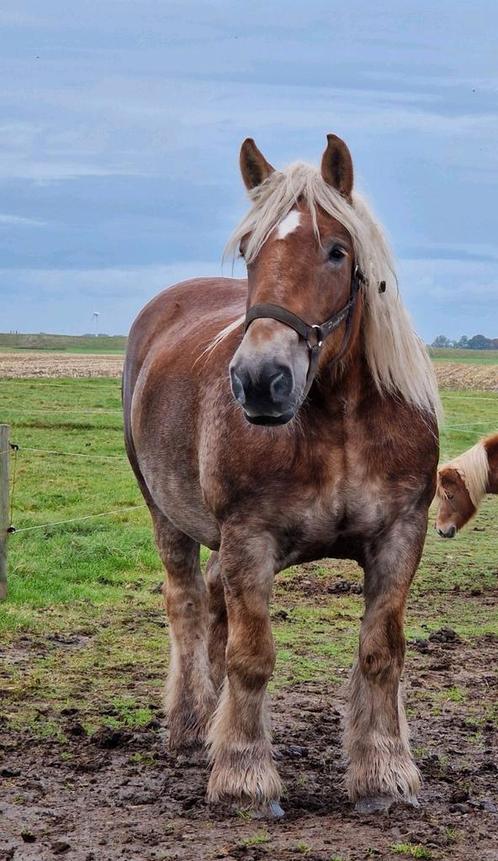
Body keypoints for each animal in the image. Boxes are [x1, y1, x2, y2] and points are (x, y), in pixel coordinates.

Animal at [123, 134, 440, 812]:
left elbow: (381, 652)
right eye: (249, 252)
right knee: (189, 605)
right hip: (167, 514)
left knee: (213, 604)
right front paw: (244, 773)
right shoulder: (250, 538)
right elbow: (252, 656)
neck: (338, 421)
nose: (259, 380)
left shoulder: (400, 535)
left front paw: (384, 770)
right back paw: (193, 725)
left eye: (337, 250)